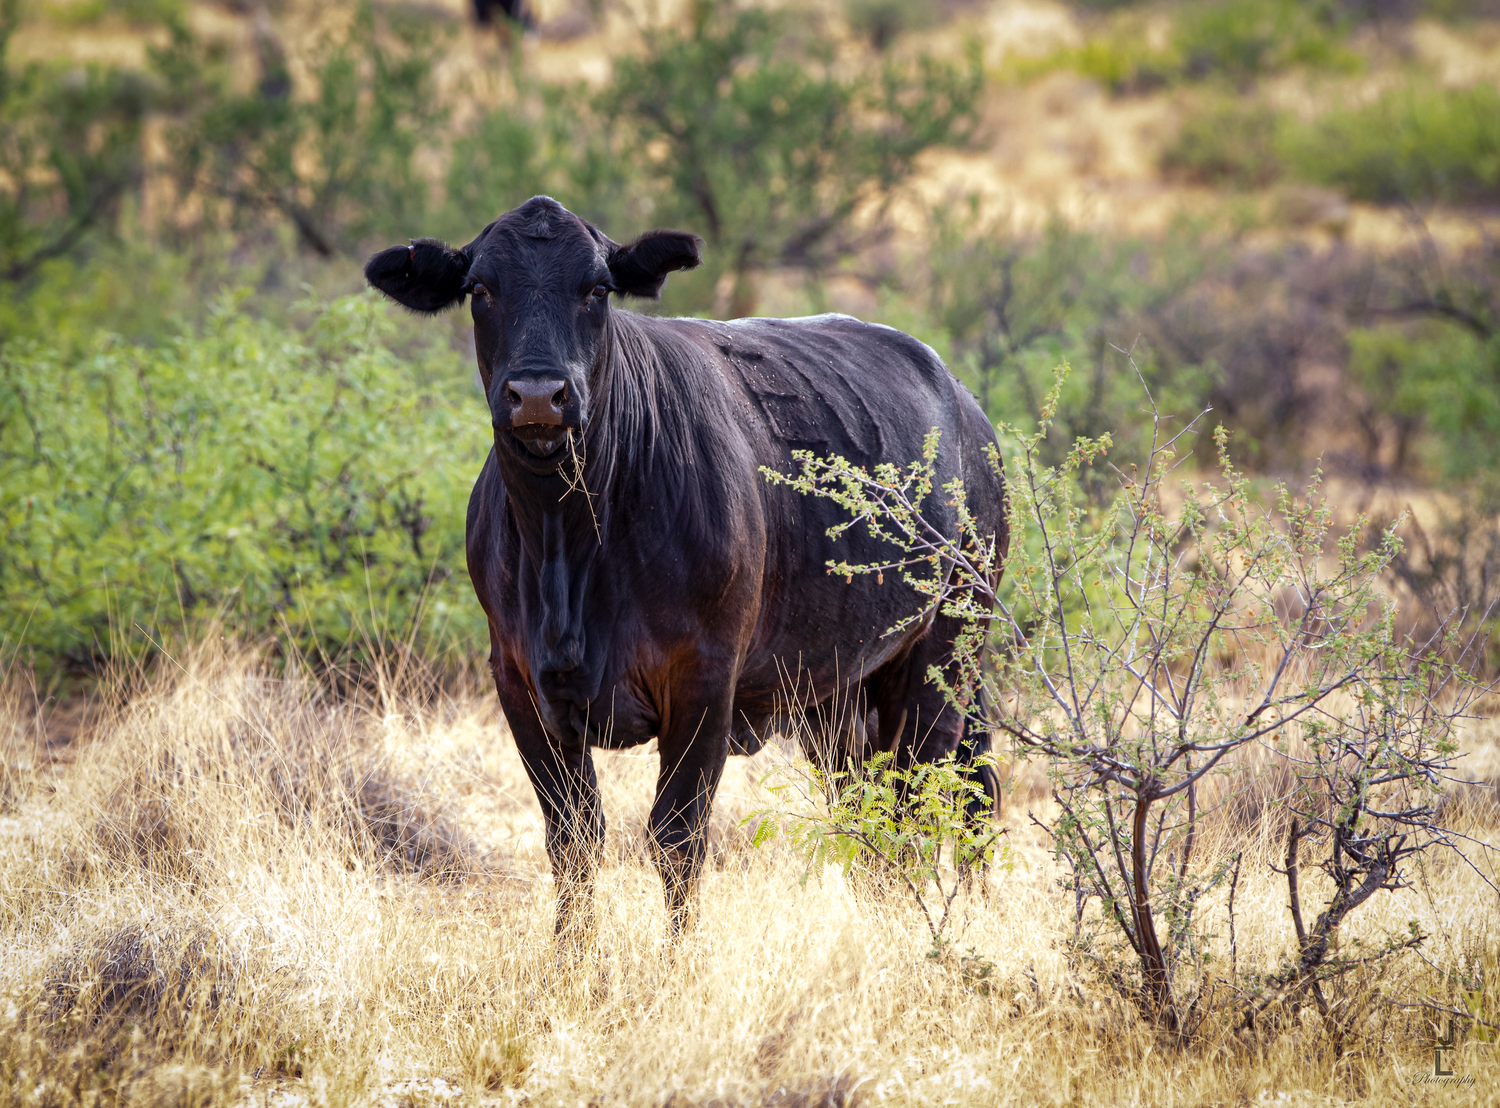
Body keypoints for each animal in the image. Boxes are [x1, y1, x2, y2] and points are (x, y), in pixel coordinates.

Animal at [365, 196, 1008, 937]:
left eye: (597, 289)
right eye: (480, 289)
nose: (538, 394)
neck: (570, 541)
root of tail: (967, 408)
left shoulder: (704, 681)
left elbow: (677, 837)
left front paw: (676, 959)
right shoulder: (519, 683)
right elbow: (572, 839)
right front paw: (571, 957)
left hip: (947, 652)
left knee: (931, 799)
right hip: (835, 689)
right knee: (870, 802)